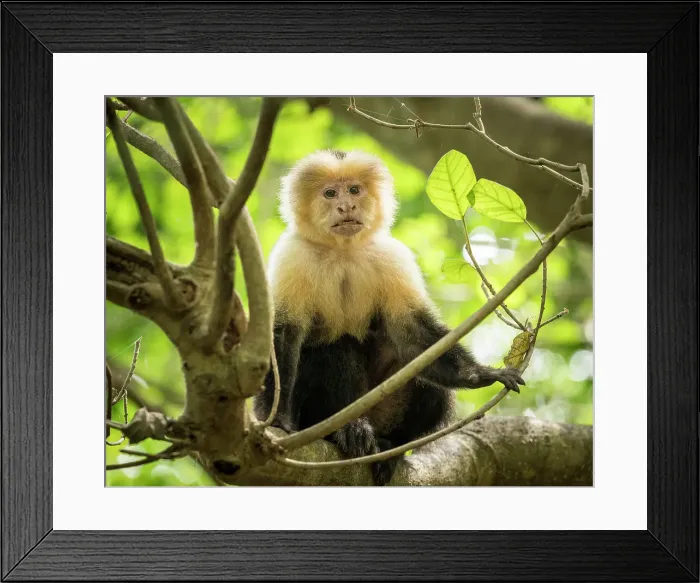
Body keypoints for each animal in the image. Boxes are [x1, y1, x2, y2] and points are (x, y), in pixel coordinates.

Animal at [253, 149, 525, 485]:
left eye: (354, 190)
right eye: (330, 194)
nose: (346, 206)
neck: (342, 252)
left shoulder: (391, 257)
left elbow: (413, 336)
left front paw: (480, 374)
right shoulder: (293, 256)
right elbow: (283, 336)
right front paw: (275, 419)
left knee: (418, 373)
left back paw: (389, 447)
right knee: (334, 347)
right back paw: (349, 430)